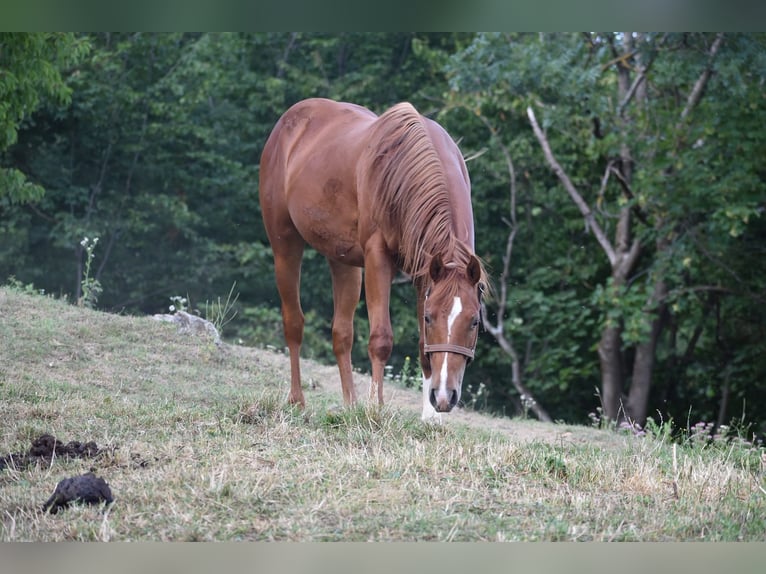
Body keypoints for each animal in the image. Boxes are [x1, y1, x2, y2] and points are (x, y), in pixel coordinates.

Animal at [259, 98, 487, 420]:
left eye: (474, 321)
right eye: (430, 317)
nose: (444, 397)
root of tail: (289, 121)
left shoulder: (425, 271)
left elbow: (422, 345)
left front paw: (430, 419)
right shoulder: (378, 258)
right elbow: (381, 339)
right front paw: (375, 410)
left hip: (343, 260)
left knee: (341, 333)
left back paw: (350, 404)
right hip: (285, 245)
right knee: (294, 323)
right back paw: (297, 401)